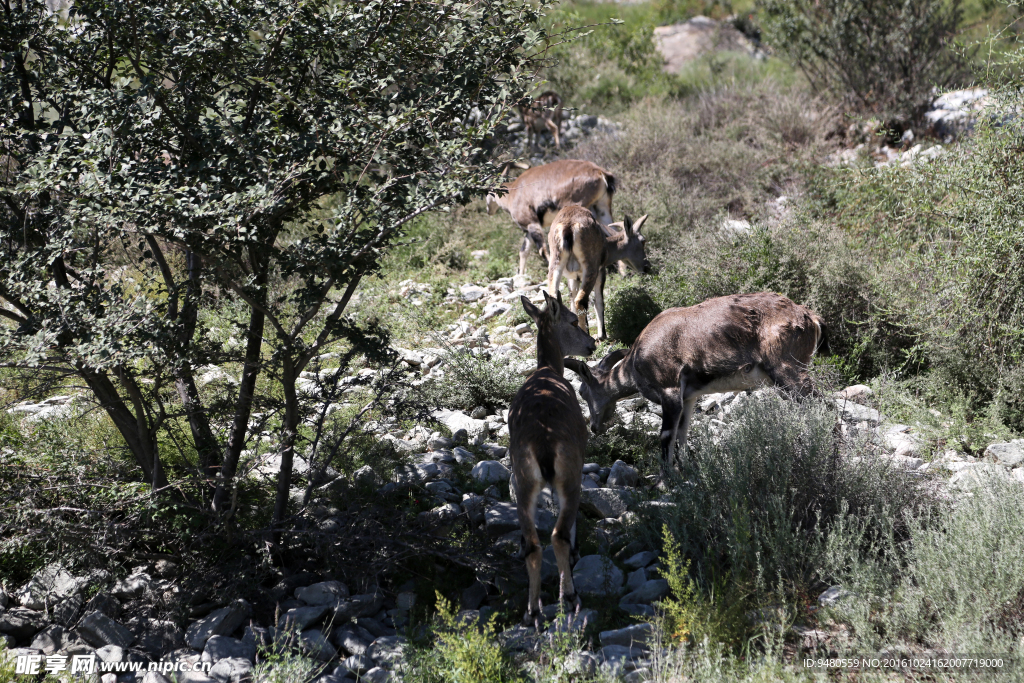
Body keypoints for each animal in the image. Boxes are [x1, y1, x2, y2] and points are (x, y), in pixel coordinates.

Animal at [485, 159, 614, 274]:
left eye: (488, 191)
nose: (488, 210)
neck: (513, 193)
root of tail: (600, 172)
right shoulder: (529, 229)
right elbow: (524, 251)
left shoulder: (532, 224)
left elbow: (542, 251)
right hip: (602, 210)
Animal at [544, 204, 647, 339]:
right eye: (643, 240)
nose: (647, 267)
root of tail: (568, 226)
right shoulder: (600, 272)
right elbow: (599, 301)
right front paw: (602, 335)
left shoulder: (573, 278)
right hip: (590, 269)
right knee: (581, 301)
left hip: (555, 265)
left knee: (554, 299)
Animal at [565, 290, 827, 479]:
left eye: (582, 391)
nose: (595, 427)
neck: (637, 357)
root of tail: (809, 318)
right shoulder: (688, 398)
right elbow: (682, 433)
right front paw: (685, 470)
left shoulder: (669, 389)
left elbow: (666, 435)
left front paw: (664, 479)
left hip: (788, 371)